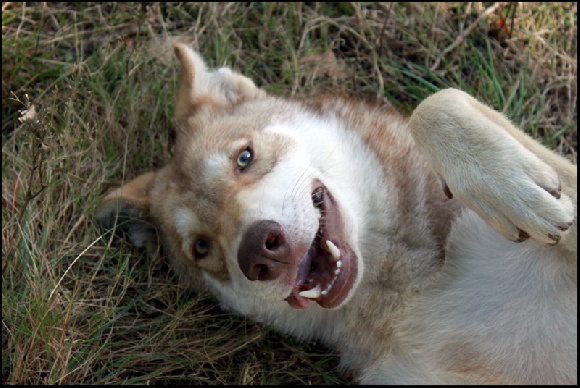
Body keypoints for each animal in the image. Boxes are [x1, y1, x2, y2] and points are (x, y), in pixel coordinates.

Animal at [96, 44, 576, 384]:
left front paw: (515, 188)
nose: (259, 251)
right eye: (201, 247)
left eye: (244, 158)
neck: (404, 285)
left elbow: (435, 103)